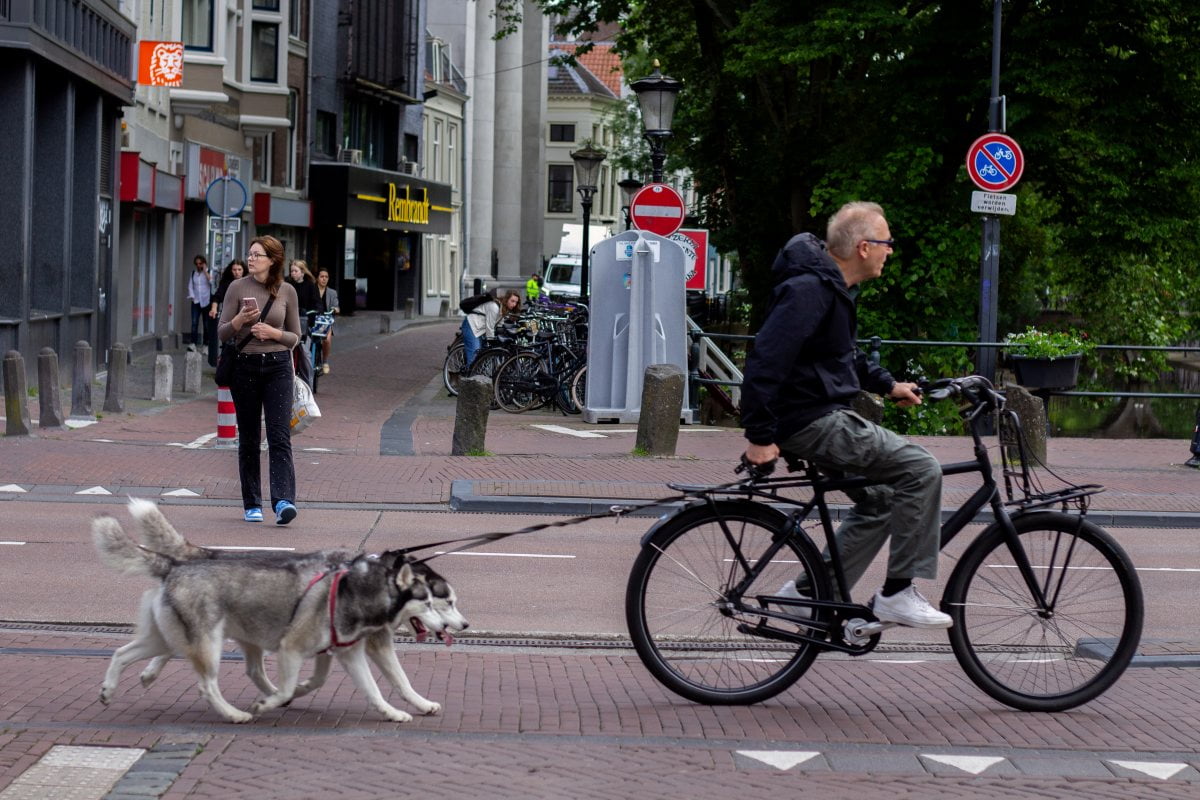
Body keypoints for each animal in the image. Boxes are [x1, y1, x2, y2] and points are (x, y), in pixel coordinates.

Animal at [93, 513, 448, 724]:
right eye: (432, 603)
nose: (451, 627)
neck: (359, 586)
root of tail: (175, 565)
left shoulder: (349, 653)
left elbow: (374, 689)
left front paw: (394, 712)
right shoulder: (292, 648)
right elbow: (291, 685)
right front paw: (269, 703)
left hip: (166, 637)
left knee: (122, 653)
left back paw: (110, 690)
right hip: (209, 643)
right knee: (207, 684)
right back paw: (234, 714)